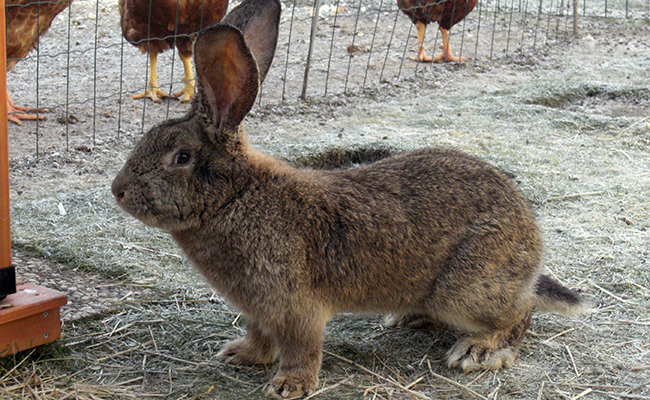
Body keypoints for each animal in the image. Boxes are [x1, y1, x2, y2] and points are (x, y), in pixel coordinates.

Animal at [112, 0, 588, 396]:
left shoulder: (294, 305)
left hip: (466, 287)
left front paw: (288, 386)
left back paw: (479, 351)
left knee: (519, 312)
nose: (118, 191)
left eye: (181, 157)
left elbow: (301, 347)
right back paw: (407, 317)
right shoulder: (257, 309)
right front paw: (240, 354)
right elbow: (259, 336)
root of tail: (532, 245)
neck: (236, 196)